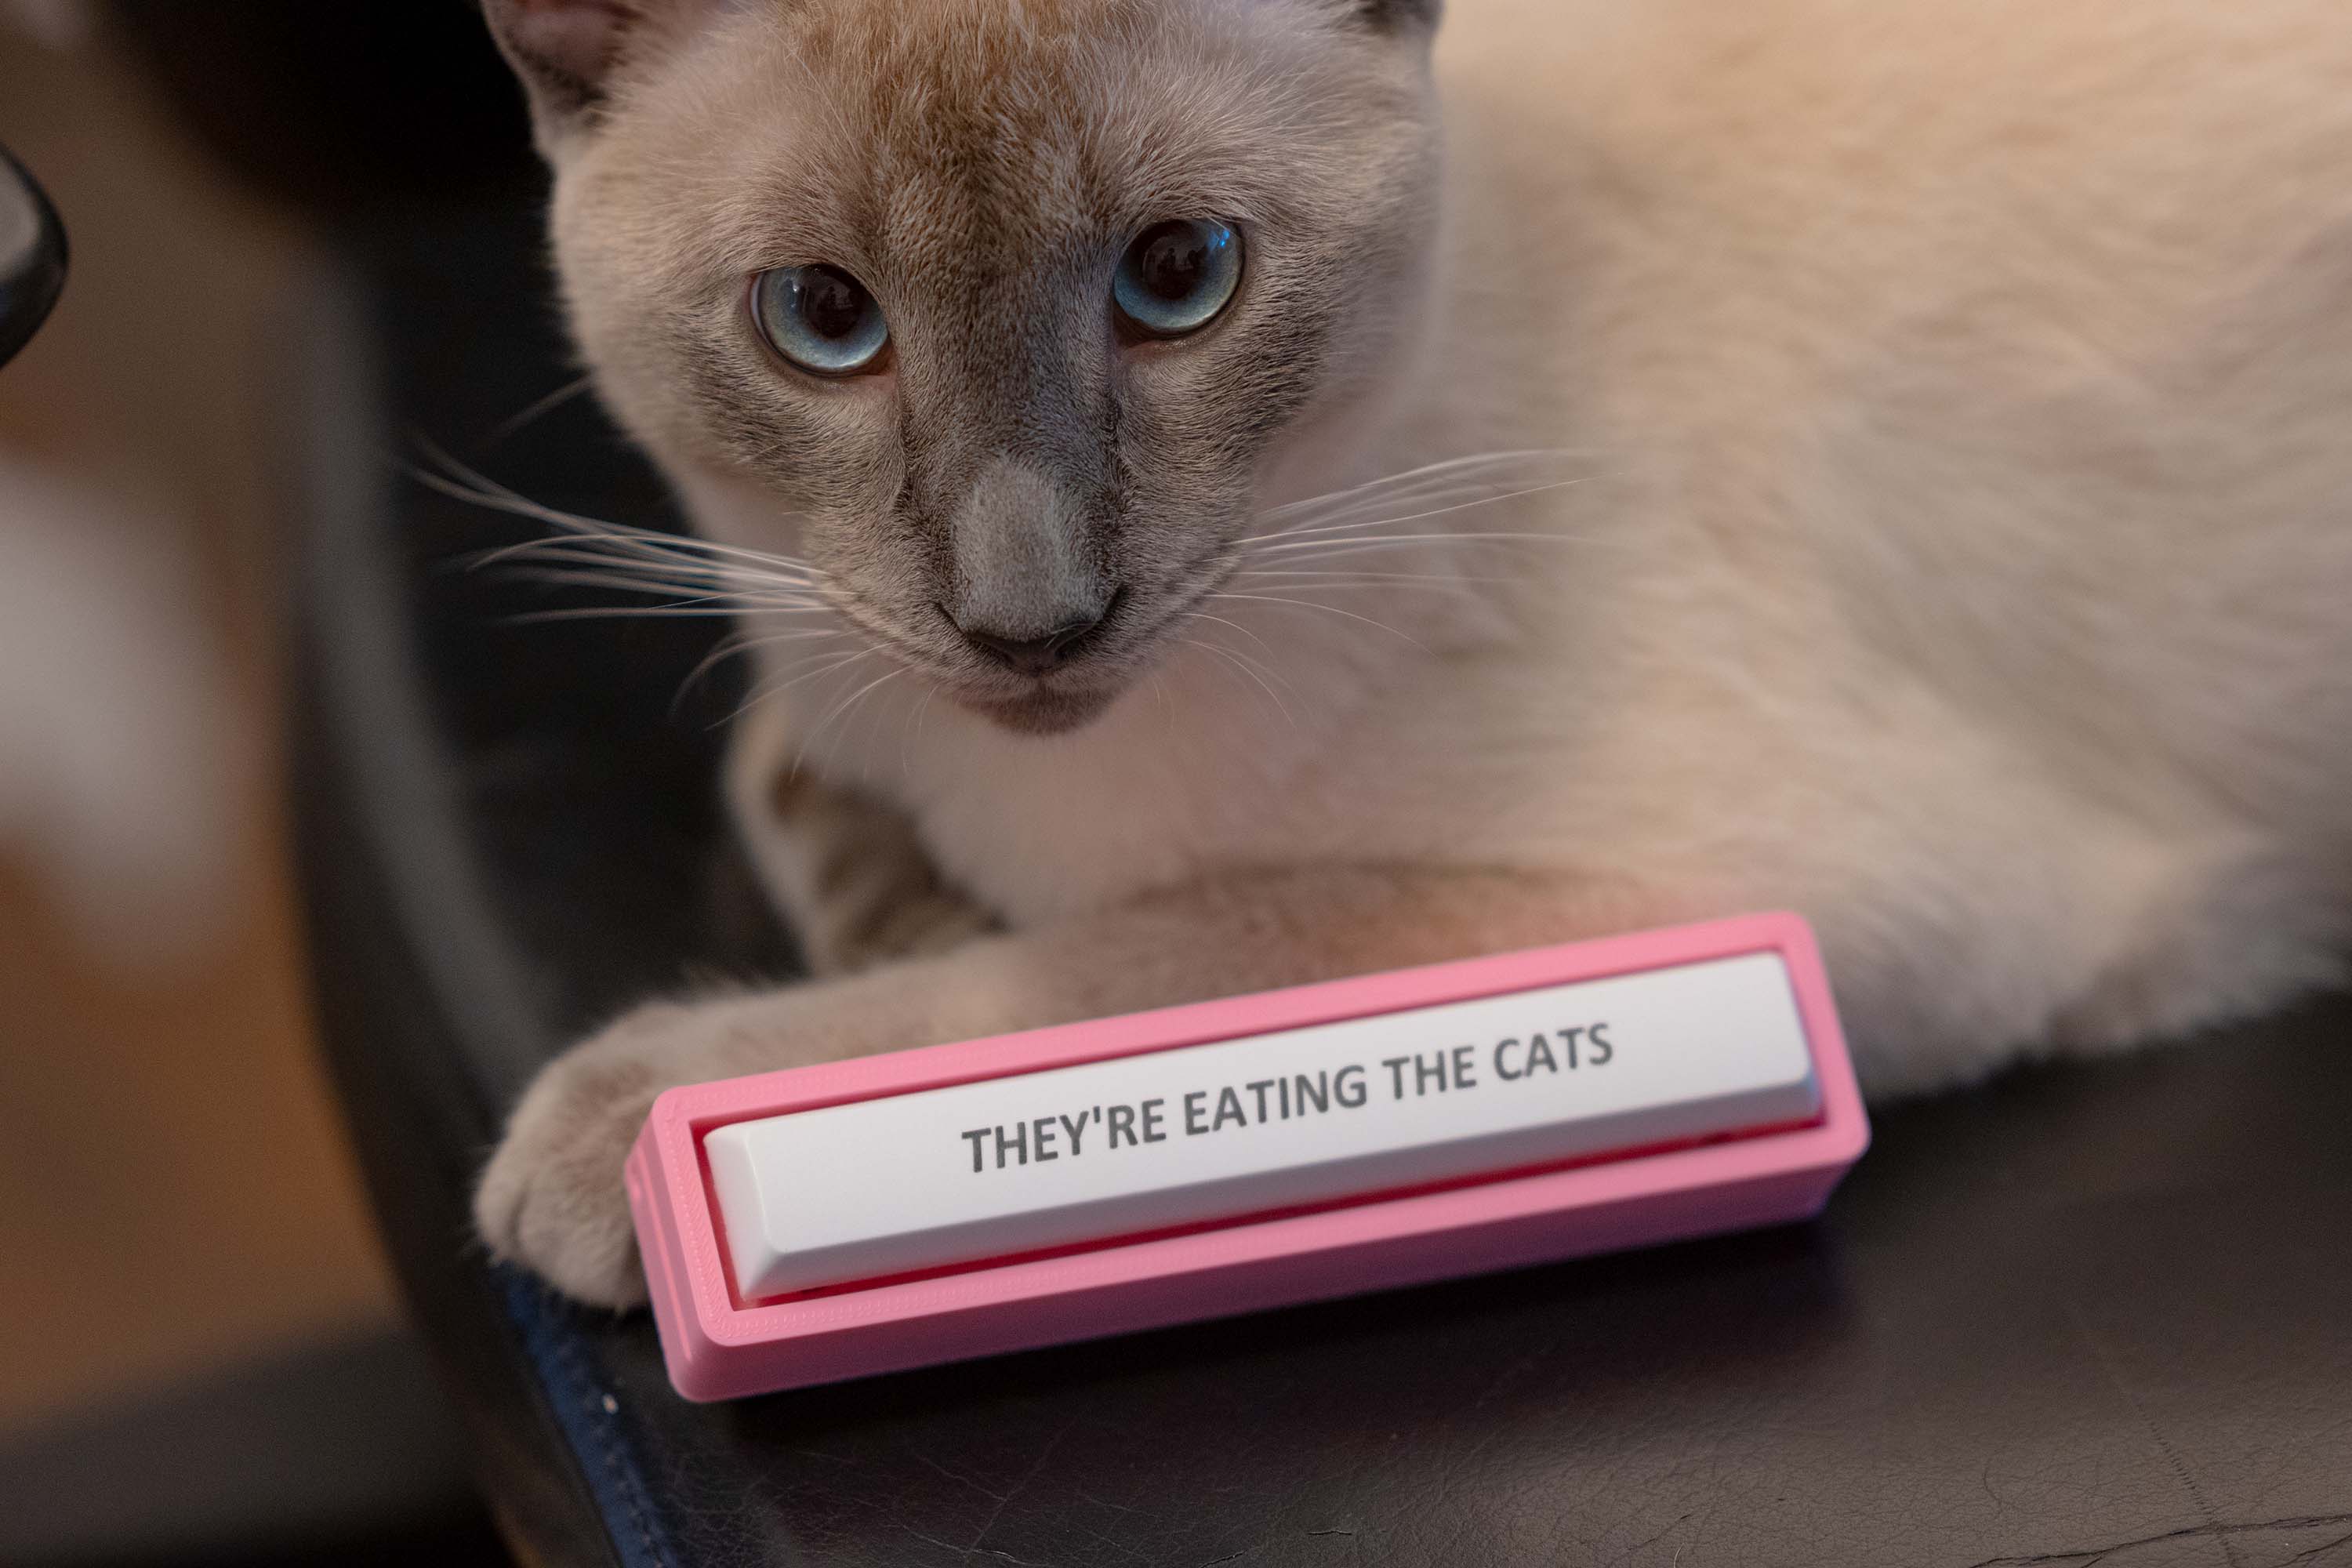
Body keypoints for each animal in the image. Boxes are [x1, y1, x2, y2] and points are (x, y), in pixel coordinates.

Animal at [468, 0, 2352, 1307]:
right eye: (822, 320)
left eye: (1180, 276)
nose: (1034, 622)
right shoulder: (826, 669)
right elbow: (802, 790)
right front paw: (910, 902)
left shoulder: (1799, 903)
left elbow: (1132, 964)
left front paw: (608, 1132)